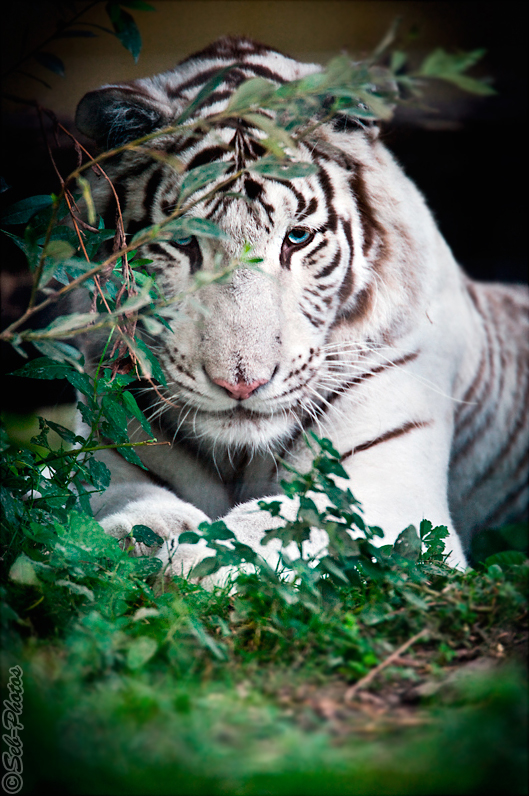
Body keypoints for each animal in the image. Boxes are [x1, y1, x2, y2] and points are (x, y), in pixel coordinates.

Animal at [74, 35, 528, 580]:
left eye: (297, 237)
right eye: (183, 241)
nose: (241, 384)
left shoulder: (390, 484)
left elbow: (289, 519)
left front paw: (199, 559)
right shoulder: (101, 447)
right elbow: (114, 498)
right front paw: (141, 538)